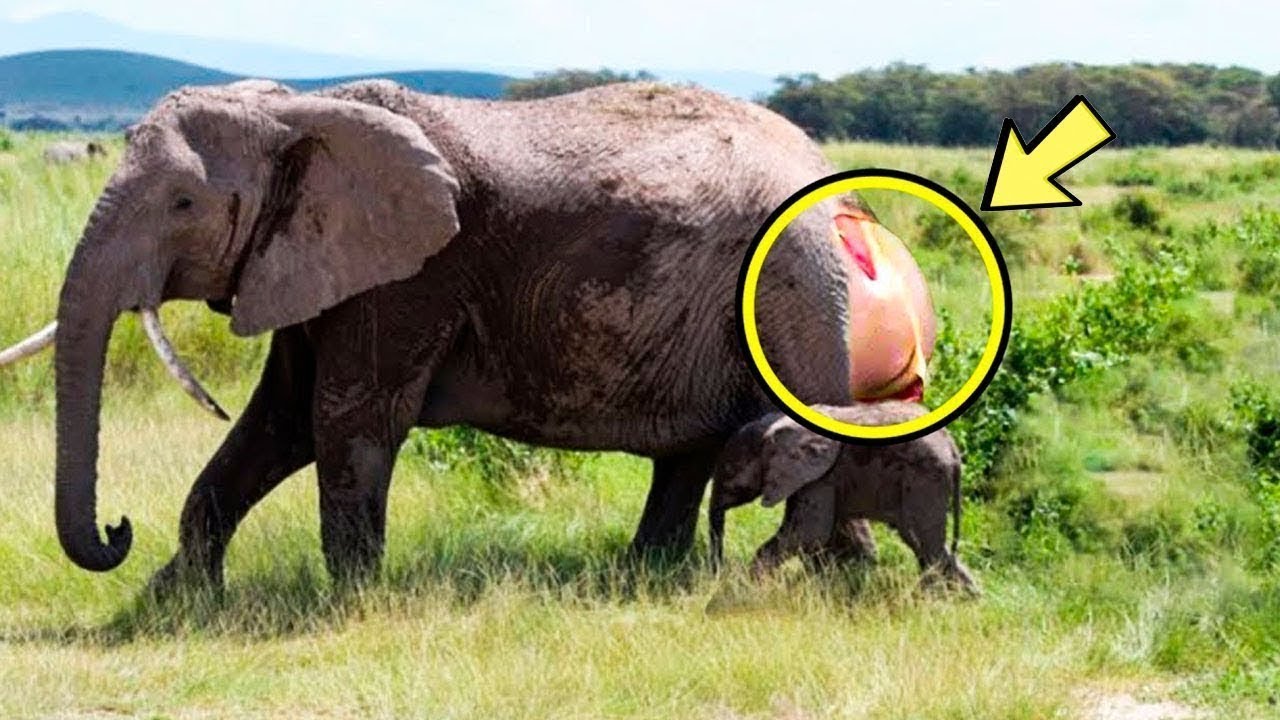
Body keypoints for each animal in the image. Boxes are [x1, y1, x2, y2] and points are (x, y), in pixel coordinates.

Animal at [0, 78, 938, 591]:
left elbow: (345, 420)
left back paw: (846, 586)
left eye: (184, 203)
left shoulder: (413, 274)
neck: (303, 109)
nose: (116, 529)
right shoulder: (317, 263)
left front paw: (349, 606)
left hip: (796, 293)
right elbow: (279, 422)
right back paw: (648, 578)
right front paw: (175, 600)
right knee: (692, 454)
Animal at [708, 402, 976, 592]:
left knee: (923, 543)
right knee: (926, 544)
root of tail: (951, 445)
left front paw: (751, 585)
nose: (717, 574)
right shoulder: (821, 477)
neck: (775, 426)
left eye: (729, 472)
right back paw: (969, 599)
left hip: (924, 476)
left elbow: (808, 533)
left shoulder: (821, 476)